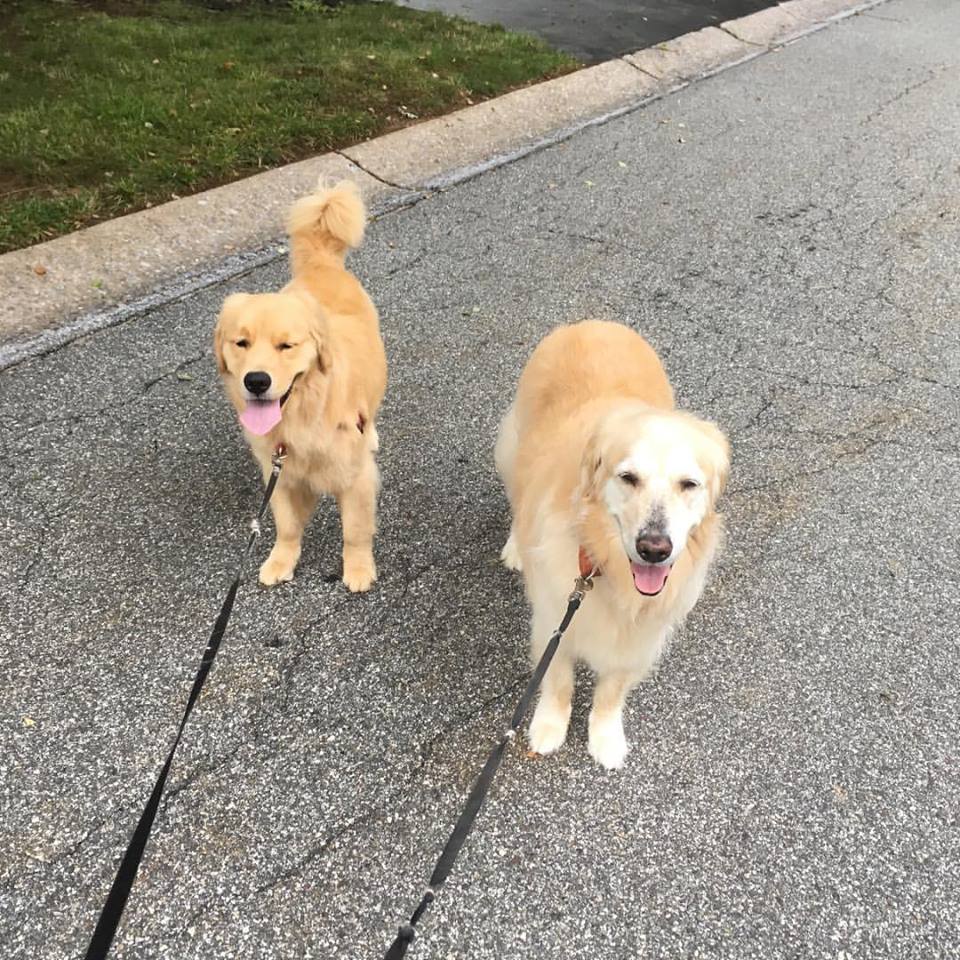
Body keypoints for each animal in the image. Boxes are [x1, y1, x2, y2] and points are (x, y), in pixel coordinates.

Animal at [215, 176, 386, 588]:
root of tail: (321, 264)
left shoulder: (355, 476)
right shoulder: (279, 473)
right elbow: (287, 525)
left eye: (286, 345)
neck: (304, 415)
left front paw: (358, 568)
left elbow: (355, 530)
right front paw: (281, 560)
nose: (256, 381)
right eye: (241, 342)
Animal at [496, 318, 728, 768]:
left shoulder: (638, 636)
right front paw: (548, 727)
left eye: (689, 484)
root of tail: (593, 322)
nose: (654, 549)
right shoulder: (554, 615)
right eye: (628, 477)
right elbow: (557, 680)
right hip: (513, 448)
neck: (604, 567)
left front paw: (605, 736)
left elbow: (612, 690)